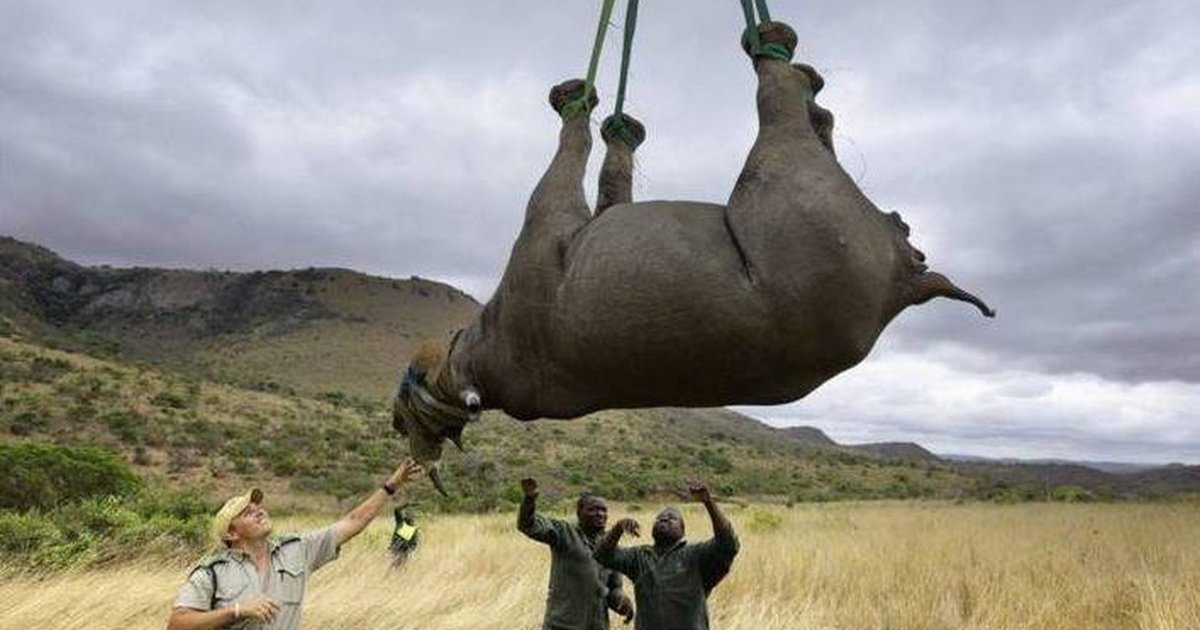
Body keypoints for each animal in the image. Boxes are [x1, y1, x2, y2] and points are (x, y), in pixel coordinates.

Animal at [393, 22, 993, 494]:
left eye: (408, 412)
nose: (400, 428)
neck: (473, 363)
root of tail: (907, 281)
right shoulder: (547, 233)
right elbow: (578, 158)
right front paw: (582, 106)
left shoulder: (547, 233)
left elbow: (595, 173)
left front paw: (604, 117)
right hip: (792, 176)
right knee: (787, 104)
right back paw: (784, 56)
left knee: (794, 103)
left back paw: (784, 55)